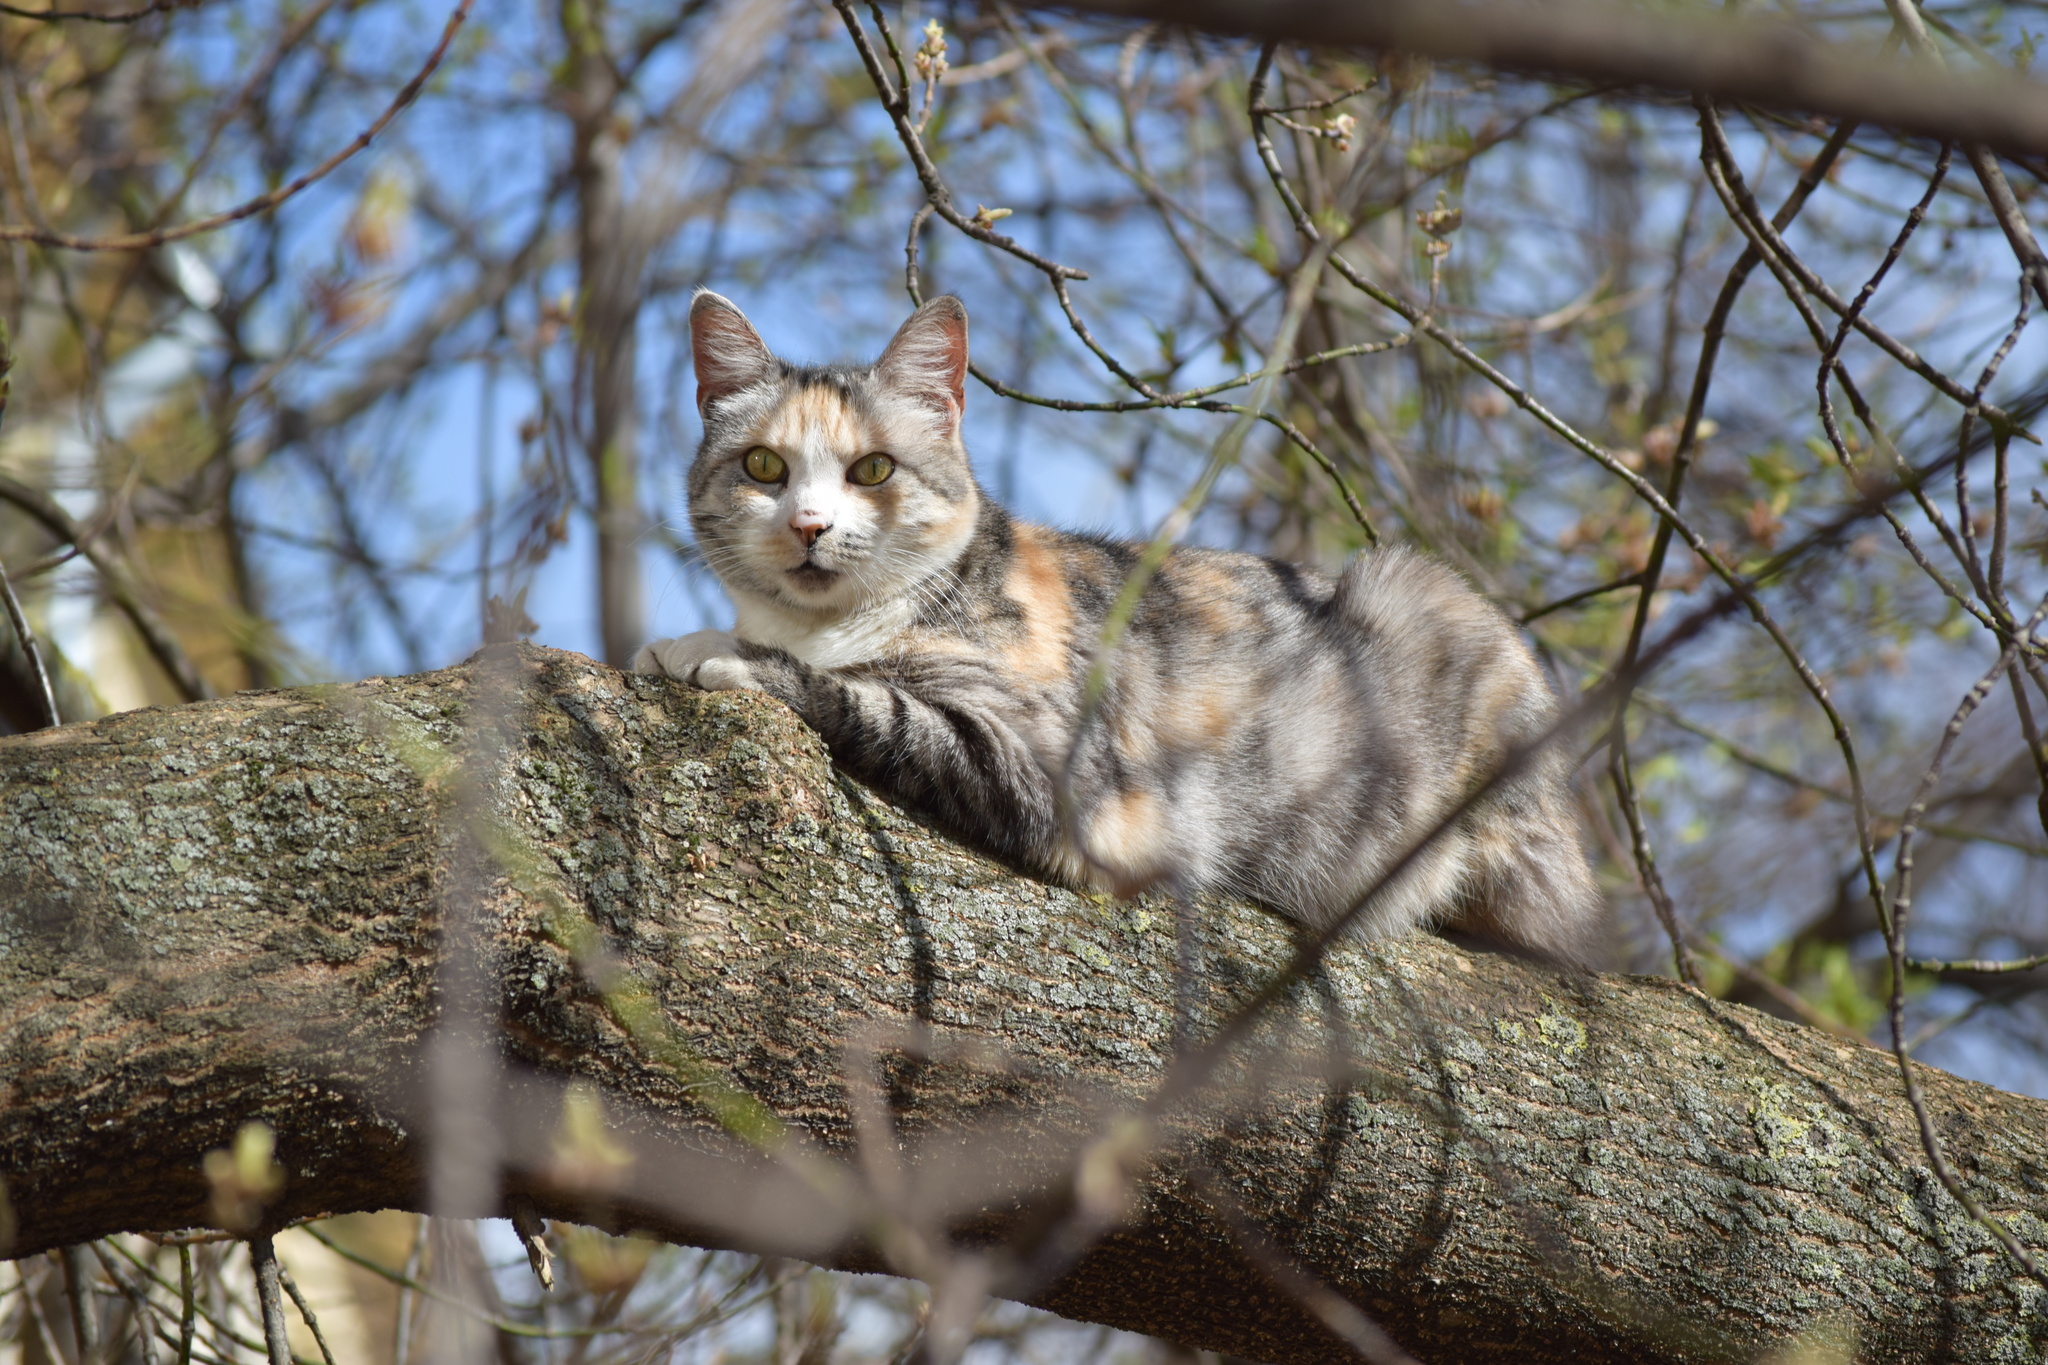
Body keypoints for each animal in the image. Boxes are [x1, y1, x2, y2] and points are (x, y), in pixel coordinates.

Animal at [630, 294, 1605, 965]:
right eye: (764, 466)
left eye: (873, 470)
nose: (808, 525)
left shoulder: (1065, 777)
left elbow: (867, 698)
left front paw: (717, 651)